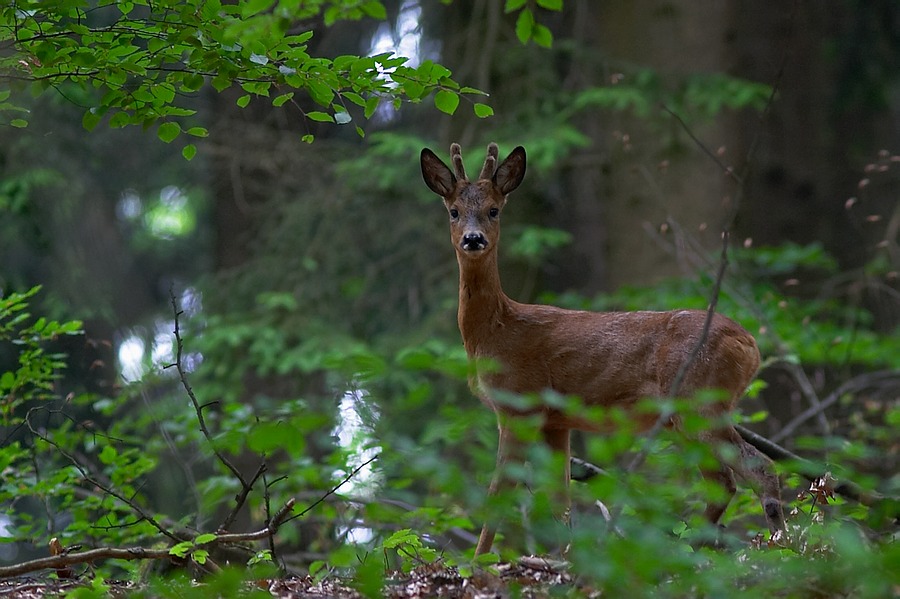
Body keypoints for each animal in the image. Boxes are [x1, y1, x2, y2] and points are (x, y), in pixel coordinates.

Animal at [418, 143, 784, 556]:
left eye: (494, 209)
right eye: (453, 211)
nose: (473, 239)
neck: (496, 330)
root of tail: (750, 344)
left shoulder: (518, 403)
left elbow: (499, 491)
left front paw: (478, 561)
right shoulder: (555, 420)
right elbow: (559, 500)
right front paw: (565, 558)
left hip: (699, 400)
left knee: (755, 468)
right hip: (692, 413)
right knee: (723, 480)